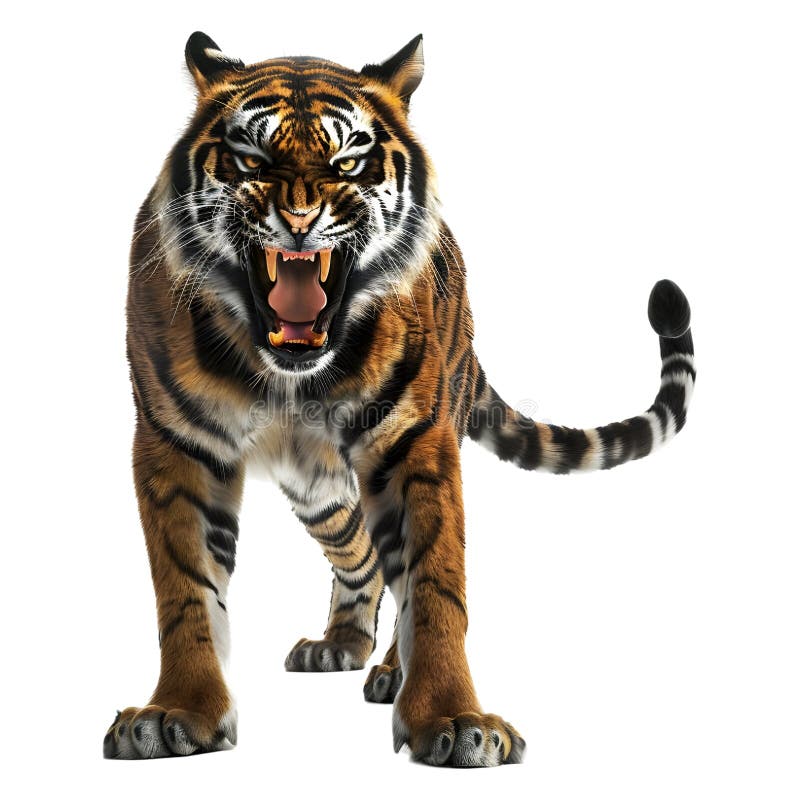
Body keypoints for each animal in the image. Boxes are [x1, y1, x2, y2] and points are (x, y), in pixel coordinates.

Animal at [103, 32, 696, 767]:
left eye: (348, 160)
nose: (298, 219)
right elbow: (185, 592)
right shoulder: (177, 445)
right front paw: (179, 712)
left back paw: (389, 668)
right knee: (357, 546)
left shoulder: (413, 440)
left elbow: (434, 584)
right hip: (315, 486)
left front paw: (453, 719)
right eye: (252, 159)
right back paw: (342, 644)